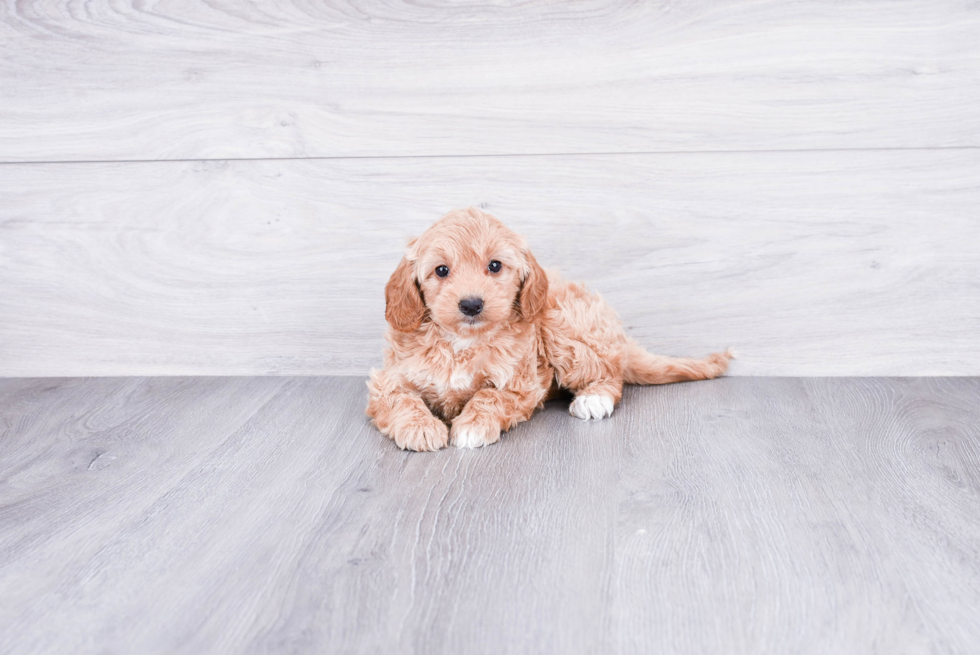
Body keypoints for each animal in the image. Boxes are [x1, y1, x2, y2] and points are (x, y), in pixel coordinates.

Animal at [366, 210, 728, 452]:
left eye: (495, 266)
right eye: (441, 270)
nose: (471, 304)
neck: (463, 341)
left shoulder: (521, 384)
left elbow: (489, 396)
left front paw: (472, 425)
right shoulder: (389, 379)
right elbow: (402, 400)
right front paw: (421, 428)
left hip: (562, 326)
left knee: (611, 373)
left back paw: (593, 398)